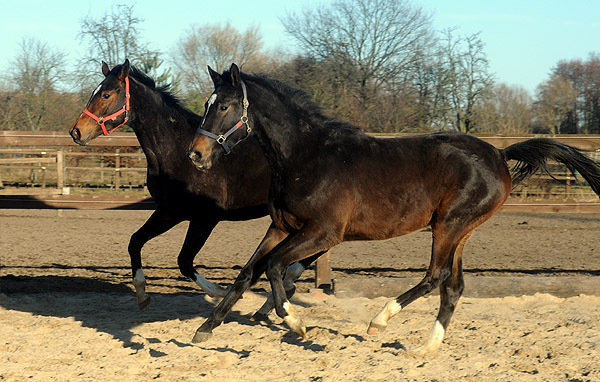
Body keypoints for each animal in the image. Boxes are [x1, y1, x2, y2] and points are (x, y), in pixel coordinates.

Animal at [188, 64, 600, 354]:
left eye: (223, 106)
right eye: (207, 105)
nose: (196, 154)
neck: (305, 156)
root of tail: (500, 153)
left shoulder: (323, 233)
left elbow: (273, 267)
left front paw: (295, 324)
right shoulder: (281, 227)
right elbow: (247, 273)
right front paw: (205, 328)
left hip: (448, 225)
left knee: (435, 276)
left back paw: (380, 321)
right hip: (462, 231)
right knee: (453, 286)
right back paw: (425, 348)